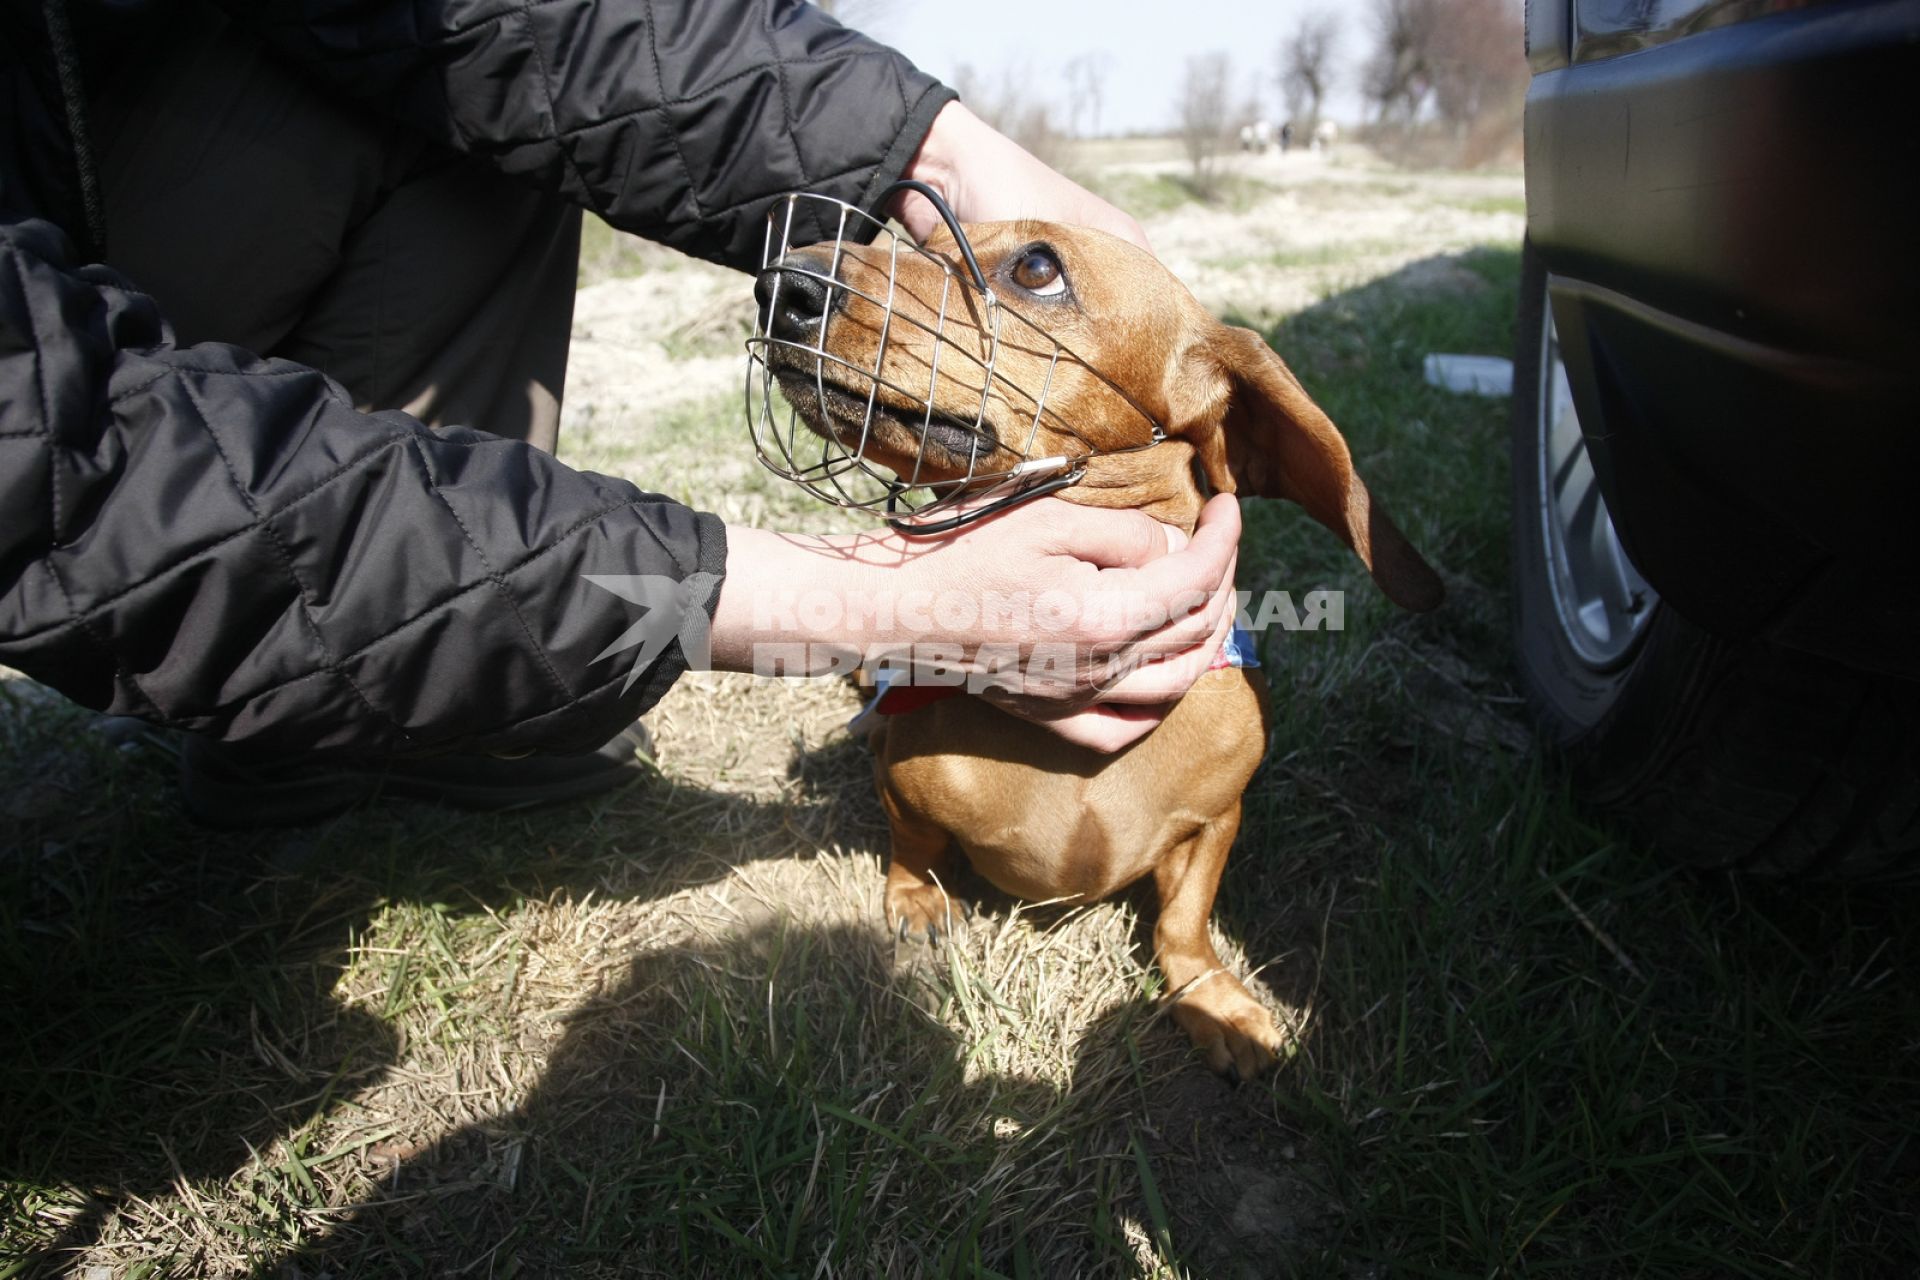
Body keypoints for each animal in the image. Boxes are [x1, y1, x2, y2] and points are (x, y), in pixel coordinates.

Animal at [756, 222, 1436, 1082]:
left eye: (1037, 267)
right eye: (918, 235)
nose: (779, 283)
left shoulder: (1215, 823)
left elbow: (1183, 922)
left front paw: (1213, 998)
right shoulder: (902, 786)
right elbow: (913, 846)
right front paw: (914, 901)